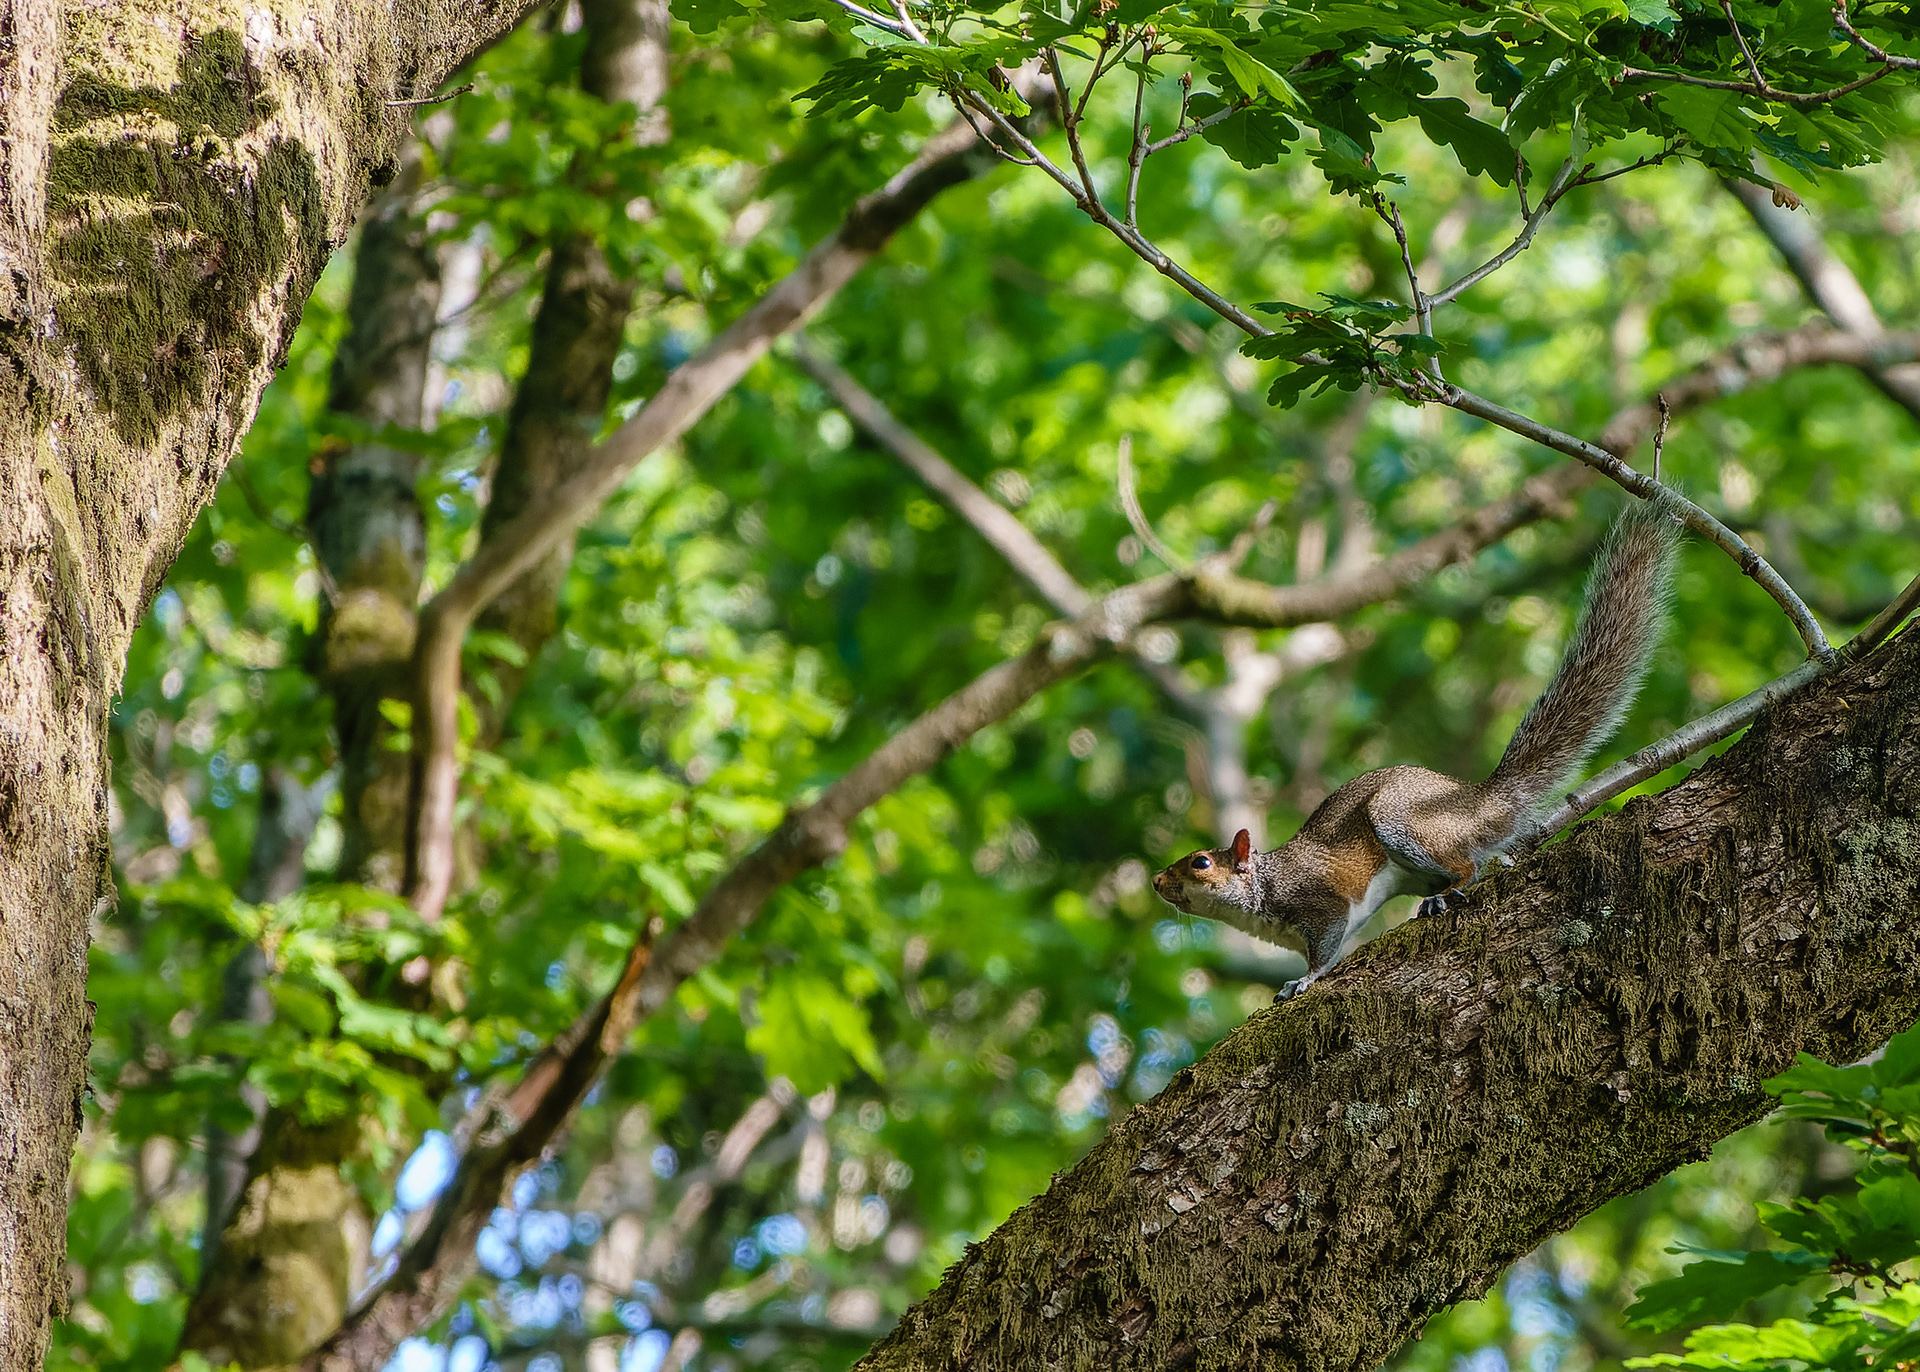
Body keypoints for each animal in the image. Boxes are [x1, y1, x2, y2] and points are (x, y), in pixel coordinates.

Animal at [1152, 498, 1680, 998]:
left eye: (1200, 862)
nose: (1157, 881)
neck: (1264, 888)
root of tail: (1483, 799)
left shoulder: (1320, 904)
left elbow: (1324, 949)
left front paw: (1304, 981)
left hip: (1403, 821)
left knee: (1468, 864)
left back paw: (1448, 892)